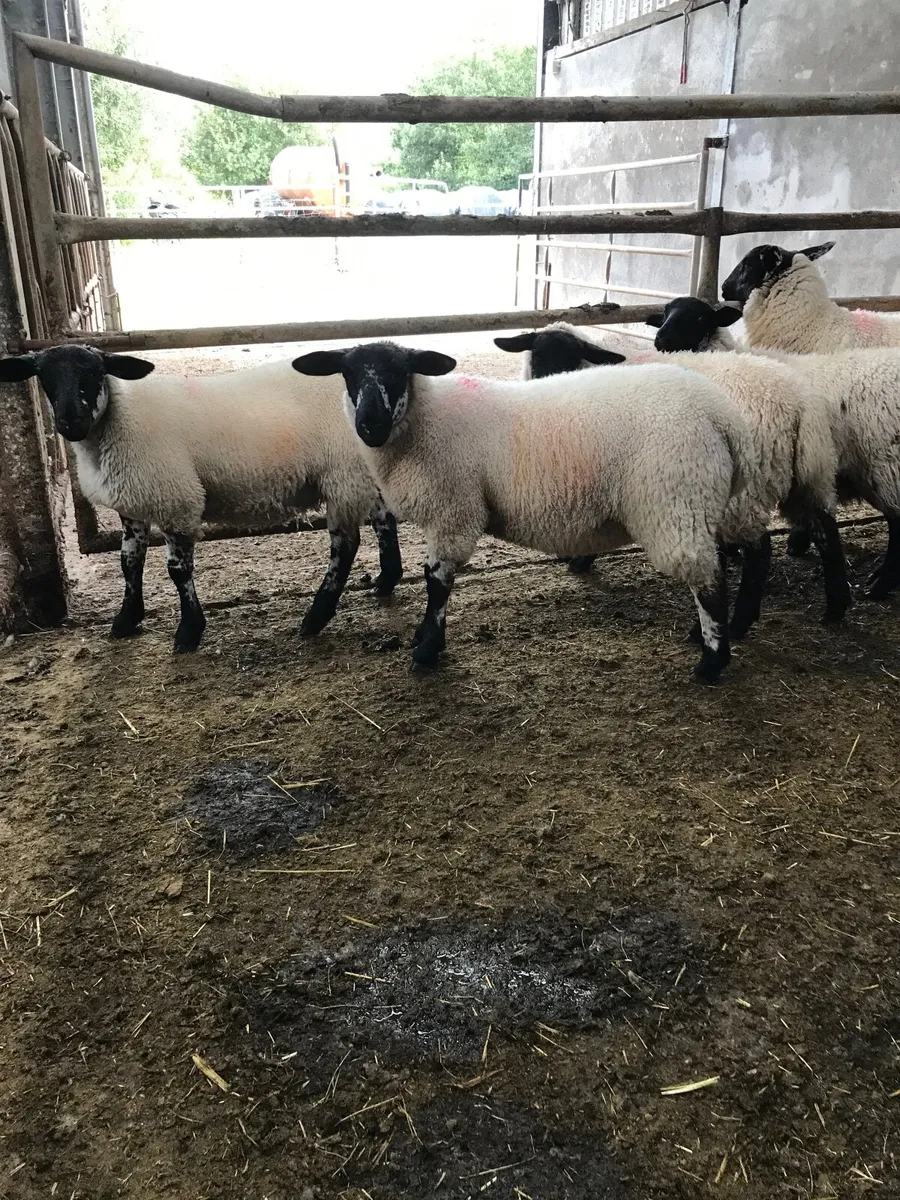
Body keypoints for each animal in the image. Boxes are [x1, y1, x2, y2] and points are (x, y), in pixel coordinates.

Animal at [0, 345, 407, 652]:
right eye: (43, 376)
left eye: (96, 372)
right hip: (361, 471)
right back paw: (386, 579)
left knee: (346, 545)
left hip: (342, 474)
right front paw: (126, 620)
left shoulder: (176, 499)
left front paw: (189, 631)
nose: (70, 421)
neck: (118, 422)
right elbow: (129, 563)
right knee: (383, 518)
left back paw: (316, 617)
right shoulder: (132, 504)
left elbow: (177, 570)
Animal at [292, 340, 762, 684]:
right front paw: (424, 640)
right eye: (348, 373)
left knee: (709, 580)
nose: (369, 424)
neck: (423, 423)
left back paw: (712, 661)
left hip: (675, 501)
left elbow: (437, 581)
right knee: (730, 559)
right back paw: (711, 633)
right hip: (703, 502)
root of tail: (722, 415)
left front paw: (427, 649)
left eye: (397, 371)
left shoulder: (454, 508)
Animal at [494, 324, 849, 634]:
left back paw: (735, 625)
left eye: (570, 358)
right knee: (827, 532)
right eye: (536, 356)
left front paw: (580, 560)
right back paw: (835, 610)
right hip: (808, 477)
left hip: (748, 489)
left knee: (759, 552)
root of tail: (799, 403)